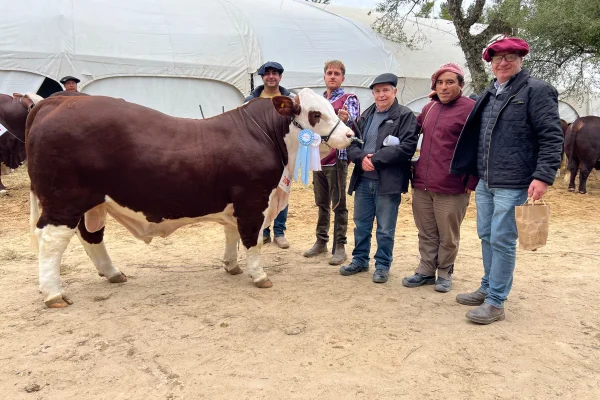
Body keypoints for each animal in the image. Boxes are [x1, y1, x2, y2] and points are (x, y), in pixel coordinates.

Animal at [28, 88, 354, 306]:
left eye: (332, 107)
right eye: (315, 114)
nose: (350, 135)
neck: (267, 135)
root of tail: (57, 101)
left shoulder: (235, 204)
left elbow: (231, 234)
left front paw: (232, 266)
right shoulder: (253, 200)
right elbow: (253, 240)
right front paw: (260, 276)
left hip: (92, 203)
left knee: (90, 236)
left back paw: (112, 273)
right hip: (64, 201)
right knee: (51, 241)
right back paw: (54, 294)